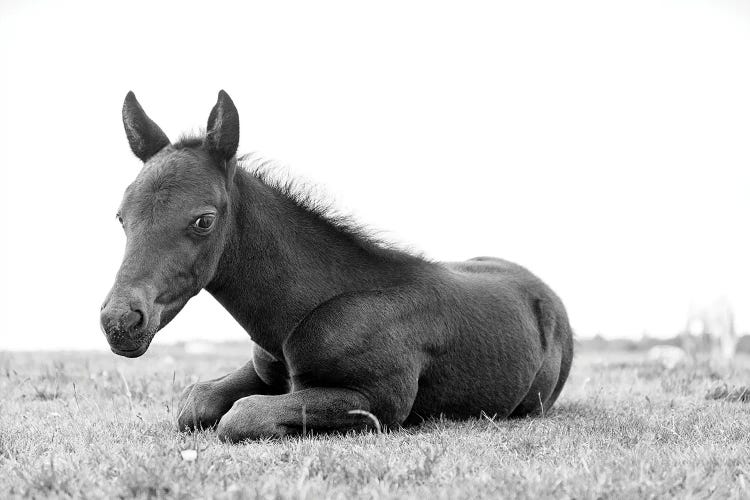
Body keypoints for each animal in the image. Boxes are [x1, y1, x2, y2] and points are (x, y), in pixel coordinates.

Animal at [101, 90, 576, 442]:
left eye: (204, 220)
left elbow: (242, 416)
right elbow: (194, 401)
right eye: (121, 217)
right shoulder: (263, 370)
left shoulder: (378, 398)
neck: (304, 311)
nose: (120, 321)